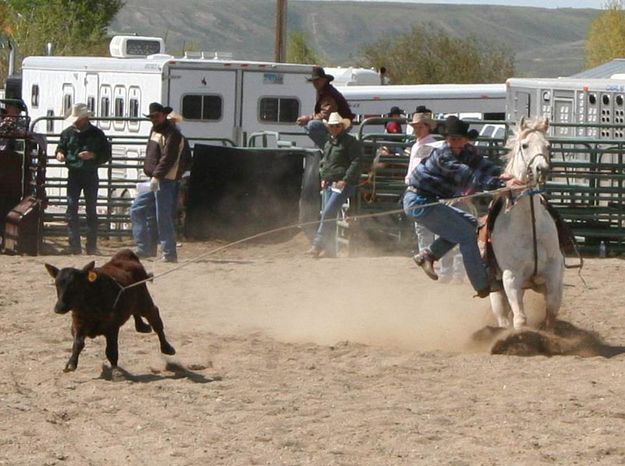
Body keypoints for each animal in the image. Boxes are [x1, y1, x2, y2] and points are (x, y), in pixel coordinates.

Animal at [490, 116, 564, 330]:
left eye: (548, 145)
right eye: (524, 145)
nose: (542, 169)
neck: (529, 223)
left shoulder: (554, 269)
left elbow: (552, 307)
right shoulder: (511, 277)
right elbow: (520, 319)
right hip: (497, 294)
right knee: (503, 317)